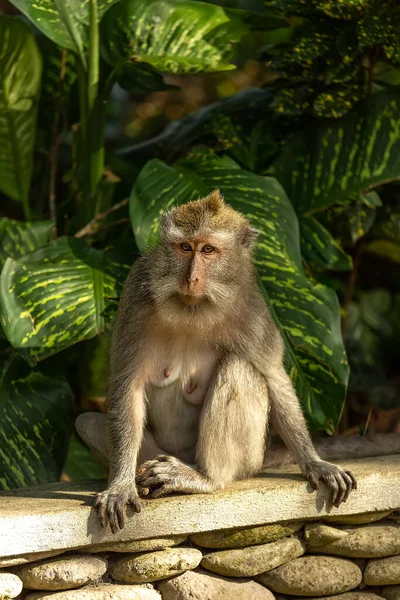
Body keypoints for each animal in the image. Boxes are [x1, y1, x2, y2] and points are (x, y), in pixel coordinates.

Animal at [76, 190, 400, 532]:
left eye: (208, 250)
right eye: (185, 247)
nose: (191, 278)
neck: (192, 308)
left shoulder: (253, 310)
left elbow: (273, 376)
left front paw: (315, 462)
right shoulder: (134, 300)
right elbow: (128, 386)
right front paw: (121, 485)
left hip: (249, 456)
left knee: (238, 368)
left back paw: (204, 477)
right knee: (89, 423)